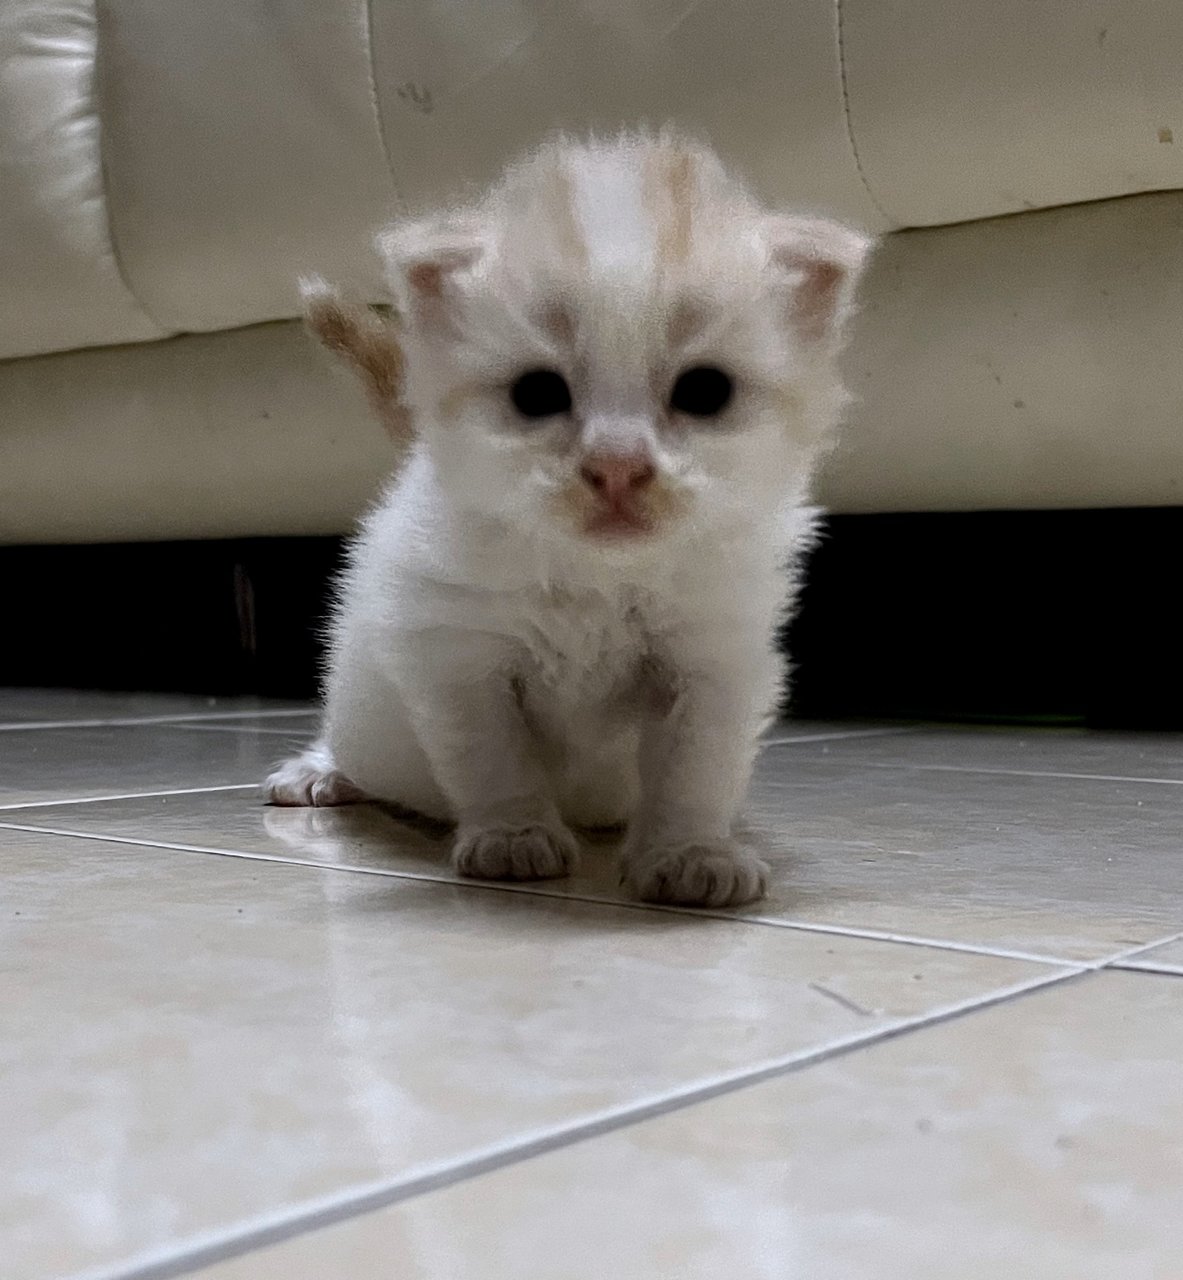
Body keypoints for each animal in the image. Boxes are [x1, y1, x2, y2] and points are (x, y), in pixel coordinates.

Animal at [266, 132, 870, 911]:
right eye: (537, 393)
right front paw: (513, 834)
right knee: (351, 737)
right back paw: (320, 770)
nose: (616, 467)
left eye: (704, 391)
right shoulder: (456, 652)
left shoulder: (715, 657)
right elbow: (491, 754)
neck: (598, 580)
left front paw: (690, 851)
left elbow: (694, 765)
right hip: (367, 702)